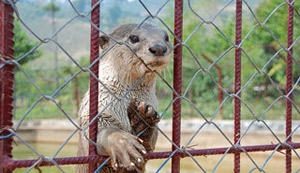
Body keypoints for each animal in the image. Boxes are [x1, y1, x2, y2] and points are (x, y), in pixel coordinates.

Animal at [76, 22, 171, 172]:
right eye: (134, 37)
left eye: (166, 37)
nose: (159, 48)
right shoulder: (100, 104)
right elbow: (98, 132)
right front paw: (122, 142)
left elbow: (150, 144)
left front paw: (142, 120)